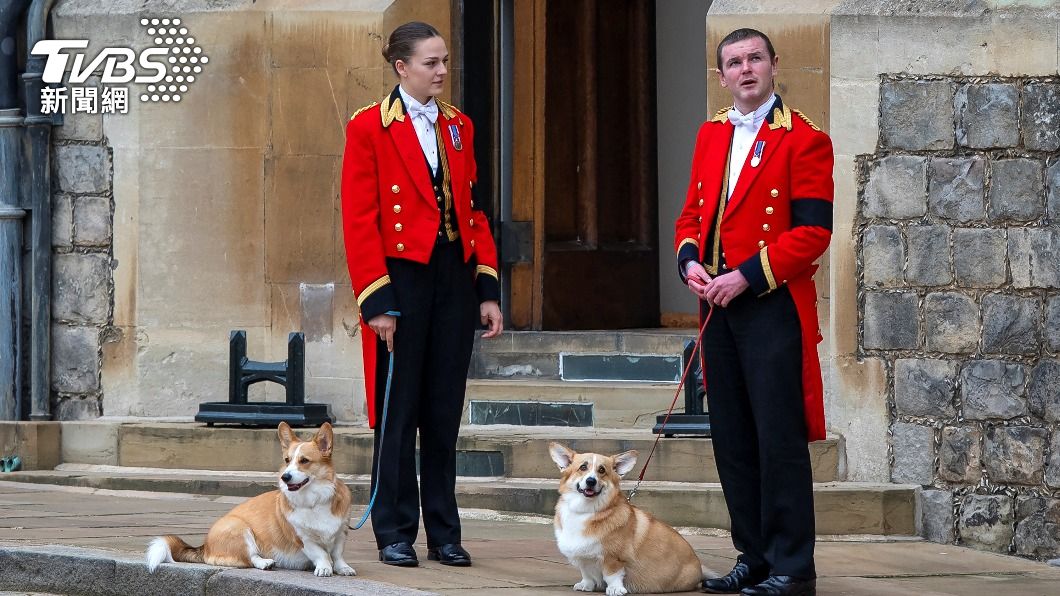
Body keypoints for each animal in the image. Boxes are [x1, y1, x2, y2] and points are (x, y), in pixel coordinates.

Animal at [145, 419, 356, 572]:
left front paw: (343, 568)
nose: (285, 476)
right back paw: (265, 563)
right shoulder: (303, 538)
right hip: (241, 530)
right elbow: (320, 554)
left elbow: (337, 555)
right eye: (287, 460)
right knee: (250, 558)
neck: (314, 500)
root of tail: (205, 546)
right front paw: (324, 568)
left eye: (304, 461)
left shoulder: (341, 534)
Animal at [546, 441, 703, 593]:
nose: (591, 481)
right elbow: (587, 574)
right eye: (583, 467)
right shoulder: (583, 558)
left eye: (602, 470)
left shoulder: (613, 558)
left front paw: (615, 589)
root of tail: (700, 570)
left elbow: (611, 575)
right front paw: (586, 585)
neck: (585, 511)